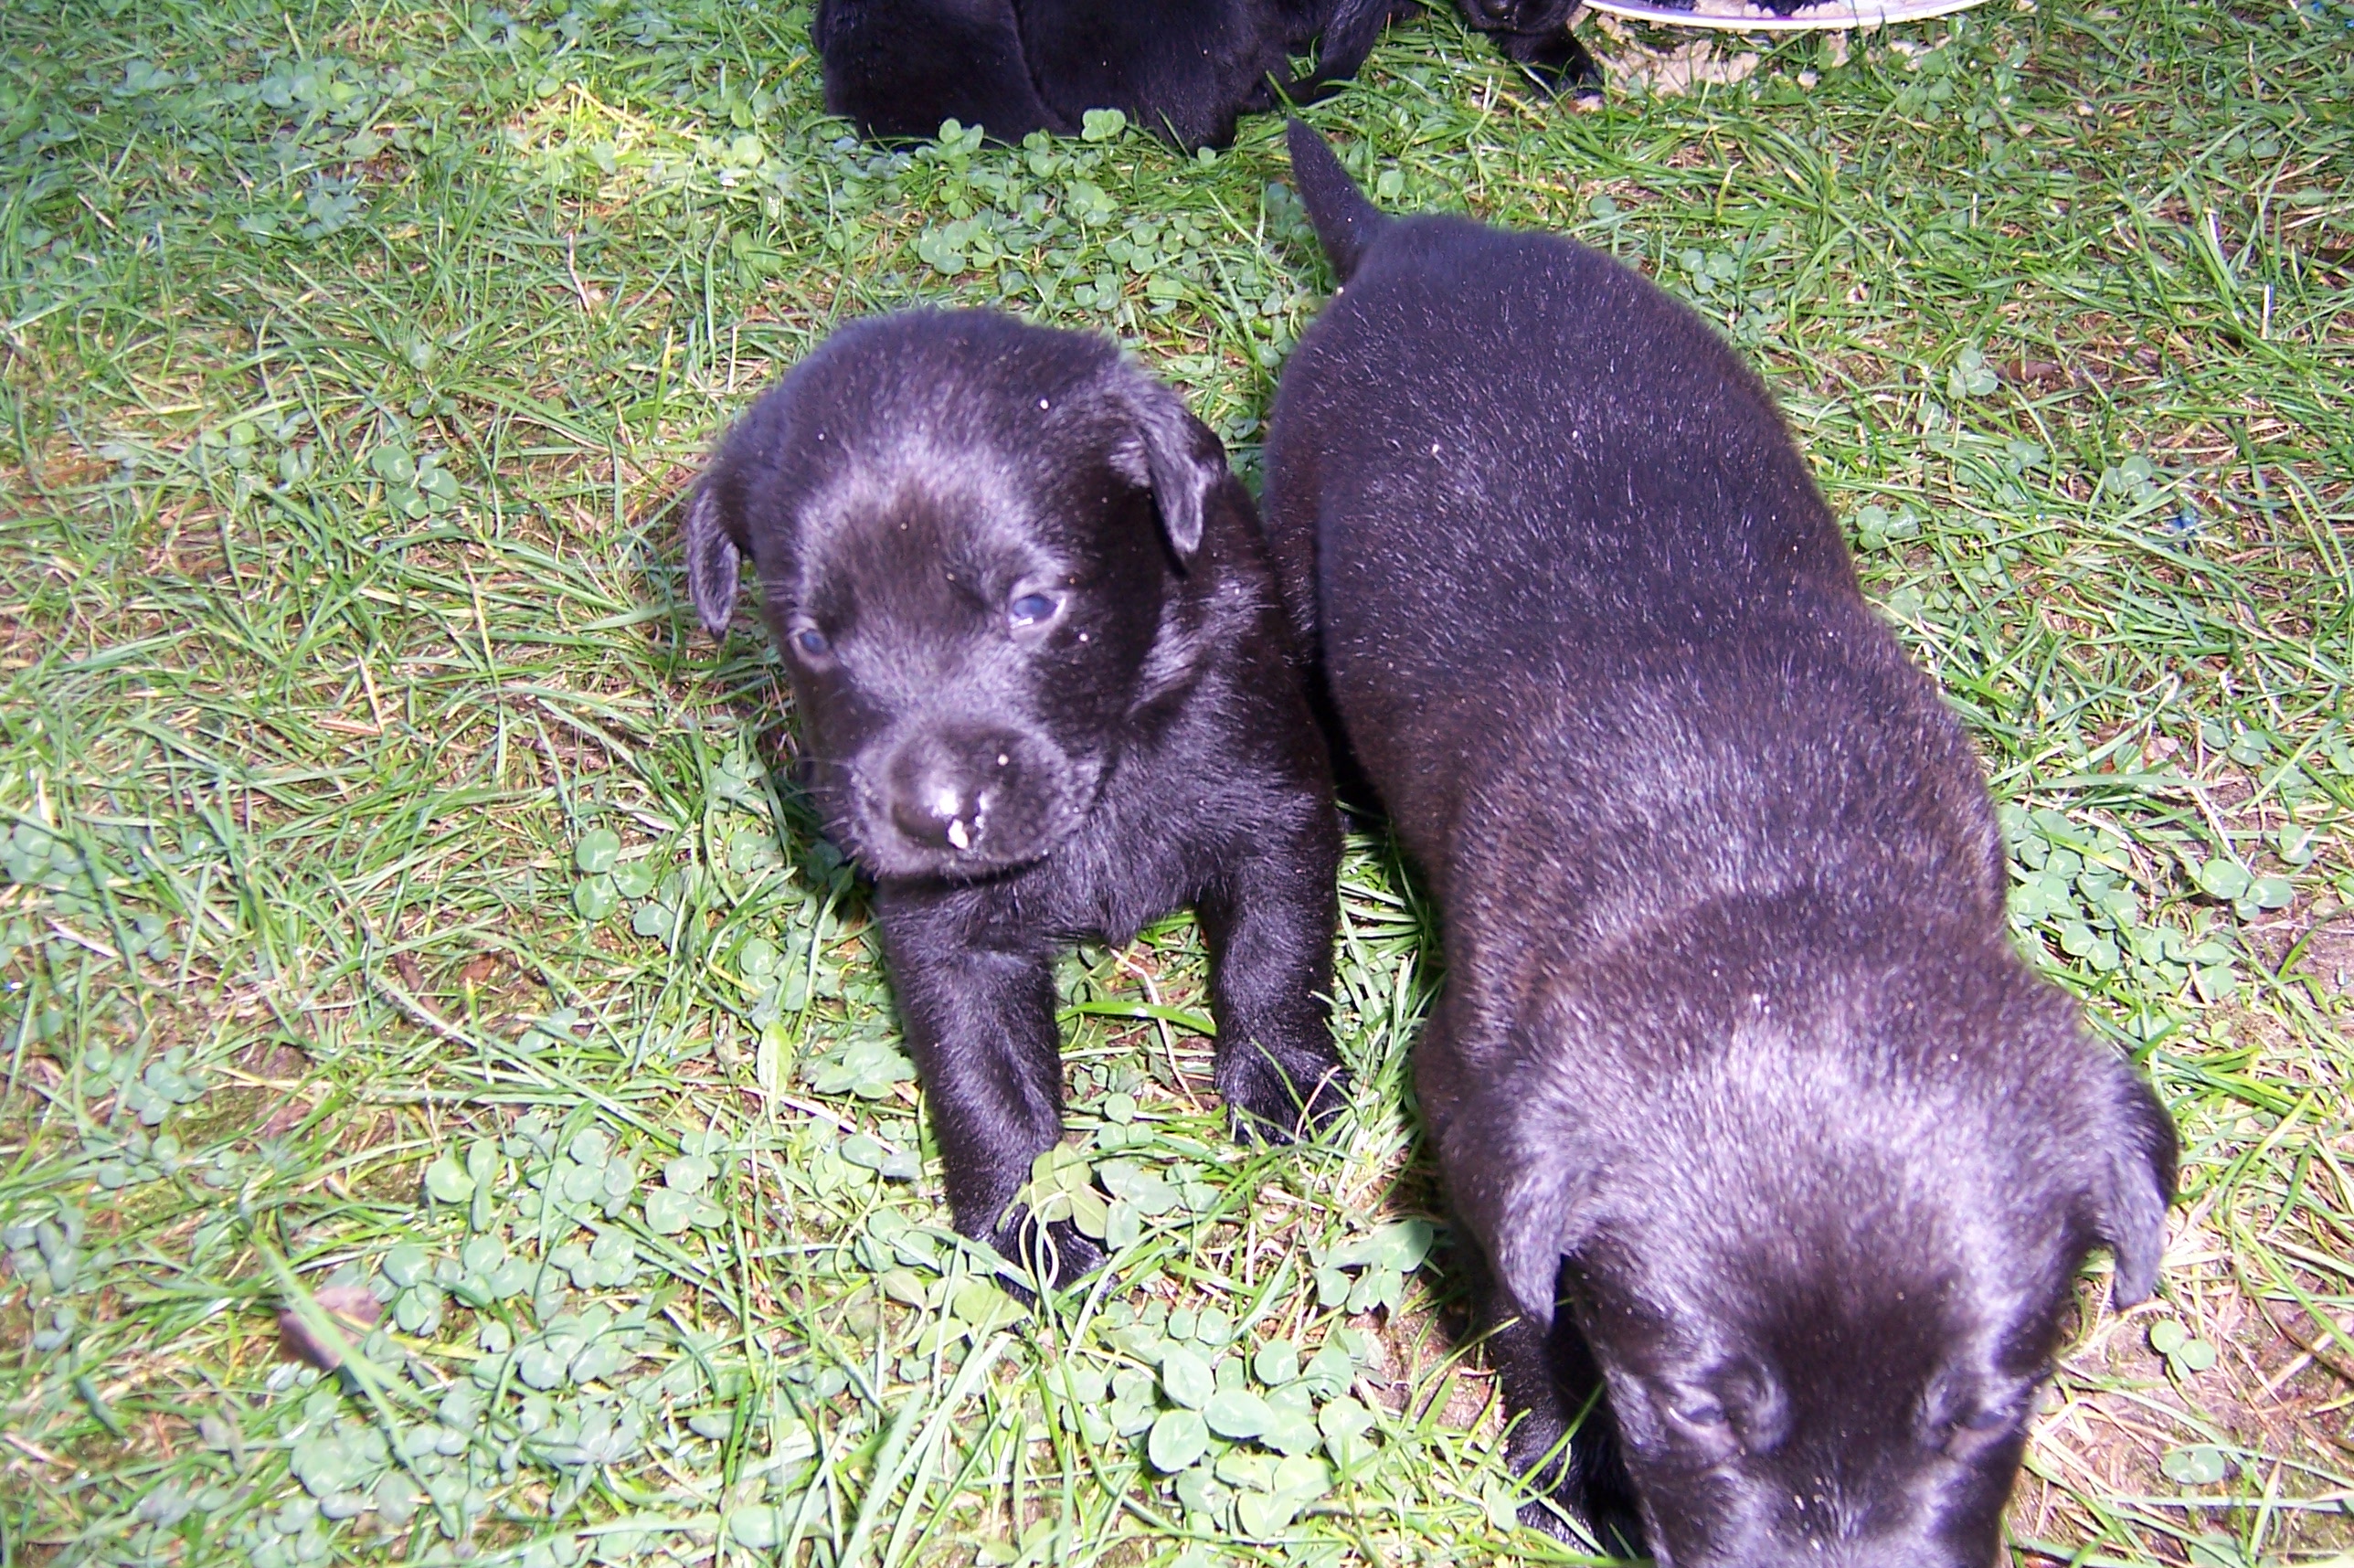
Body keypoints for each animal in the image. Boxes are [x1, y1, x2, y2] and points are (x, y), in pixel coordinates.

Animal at [683, 311, 1346, 1289]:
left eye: (1032, 604)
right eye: (810, 637)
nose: (935, 817)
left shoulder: (1276, 810)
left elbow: (1272, 960)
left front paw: (1284, 1088)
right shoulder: (945, 938)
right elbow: (985, 1081)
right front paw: (1024, 1231)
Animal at [1261, 125, 2175, 1563]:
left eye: (1985, 1410)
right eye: (1694, 1408)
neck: (1769, 851)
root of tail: (1414, 240)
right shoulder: (1475, 1126)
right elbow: (1529, 1322)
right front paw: (1573, 1467)